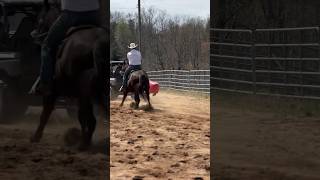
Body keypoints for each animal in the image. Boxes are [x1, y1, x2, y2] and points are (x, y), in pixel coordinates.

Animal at [29, 1, 108, 150]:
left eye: (40, 19)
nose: (34, 34)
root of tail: (97, 42)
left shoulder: (52, 93)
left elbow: (45, 113)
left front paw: (35, 137)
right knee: (91, 117)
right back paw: (87, 142)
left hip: (84, 91)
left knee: (86, 117)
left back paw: (83, 144)